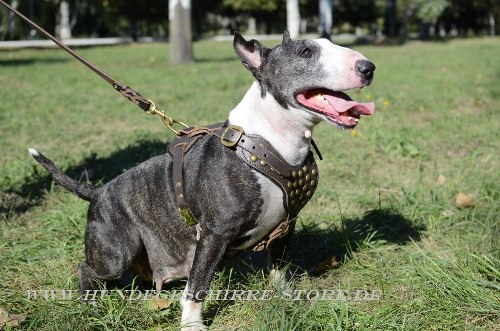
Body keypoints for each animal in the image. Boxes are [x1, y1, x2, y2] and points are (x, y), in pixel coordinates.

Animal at [30, 31, 376, 331]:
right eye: (306, 52)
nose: (368, 67)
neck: (267, 143)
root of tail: (97, 191)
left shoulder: (286, 225)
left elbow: (278, 265)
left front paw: (283, 296)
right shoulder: (214, 232)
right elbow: (198, 284)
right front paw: (192, 324)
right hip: (116, 253)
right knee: (86, 268)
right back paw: (89, 302)